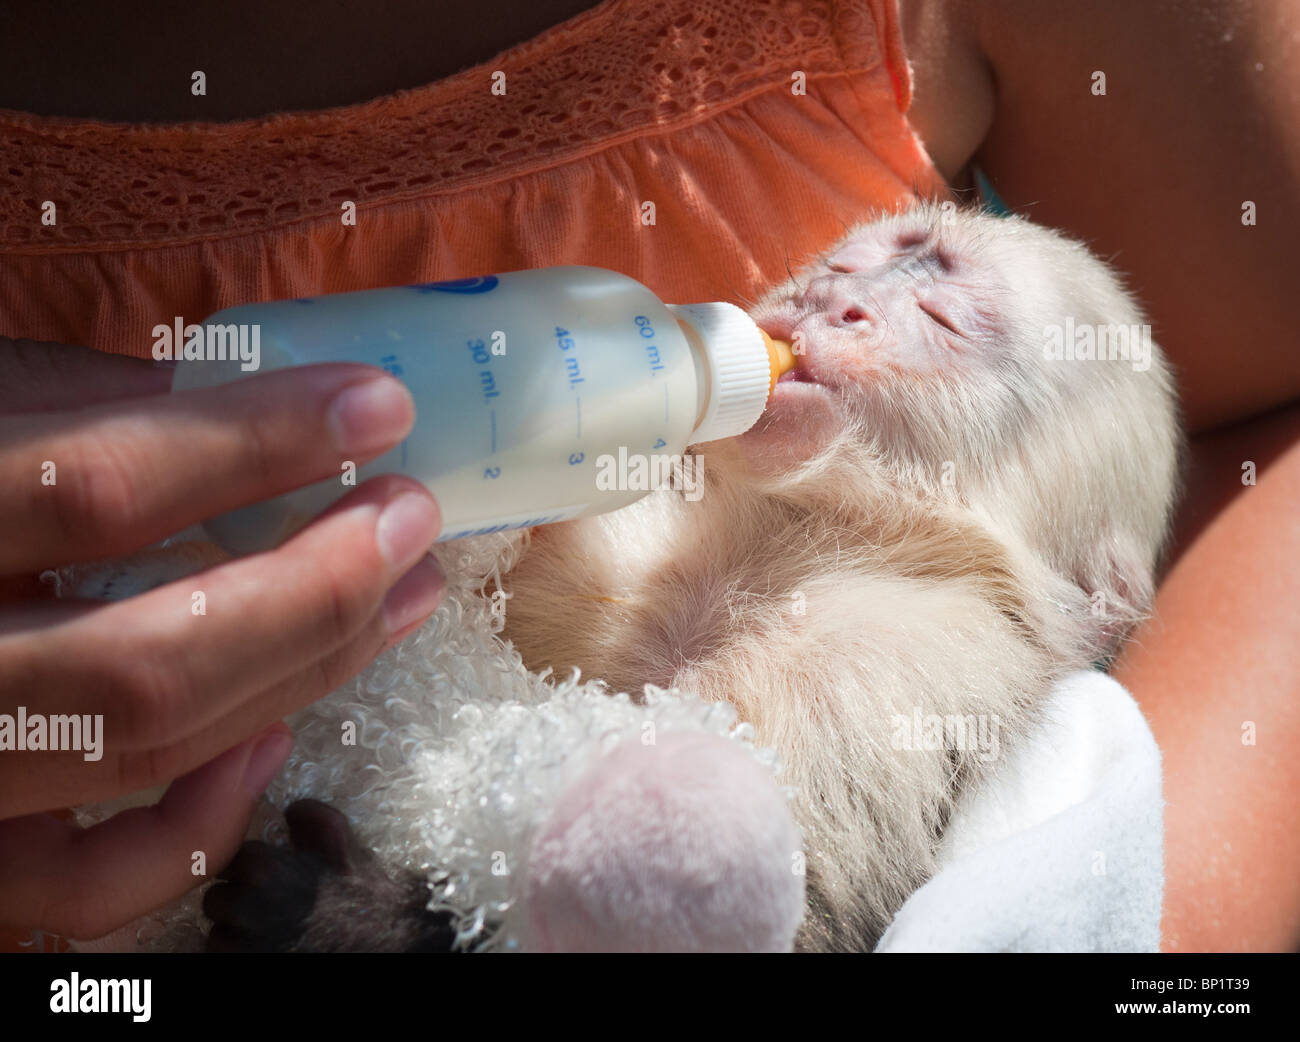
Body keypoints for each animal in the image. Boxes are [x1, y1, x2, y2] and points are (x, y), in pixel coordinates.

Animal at [202, 202, 1180, 951]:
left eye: (943, 319)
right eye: (853, 263)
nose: (834, 300)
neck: (778, 537)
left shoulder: (900, 665)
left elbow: (768, 909)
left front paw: (343, 913)